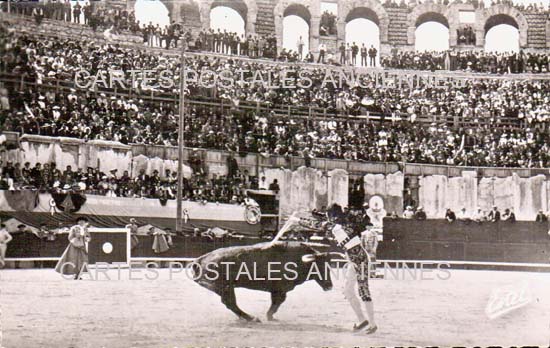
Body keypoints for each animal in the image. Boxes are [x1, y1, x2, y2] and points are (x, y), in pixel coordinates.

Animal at [194, 242, 336, 320]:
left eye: (328, 266)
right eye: (318, 266)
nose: (329, 286)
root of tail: (202, 259)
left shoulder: (276, 290)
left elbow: (276, 302)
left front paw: (271, 316)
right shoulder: (280, 289)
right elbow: (277, 302)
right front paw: (269, 316)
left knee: (229, 303)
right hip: (225, 287)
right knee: (230, 302)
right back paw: (251, 318)